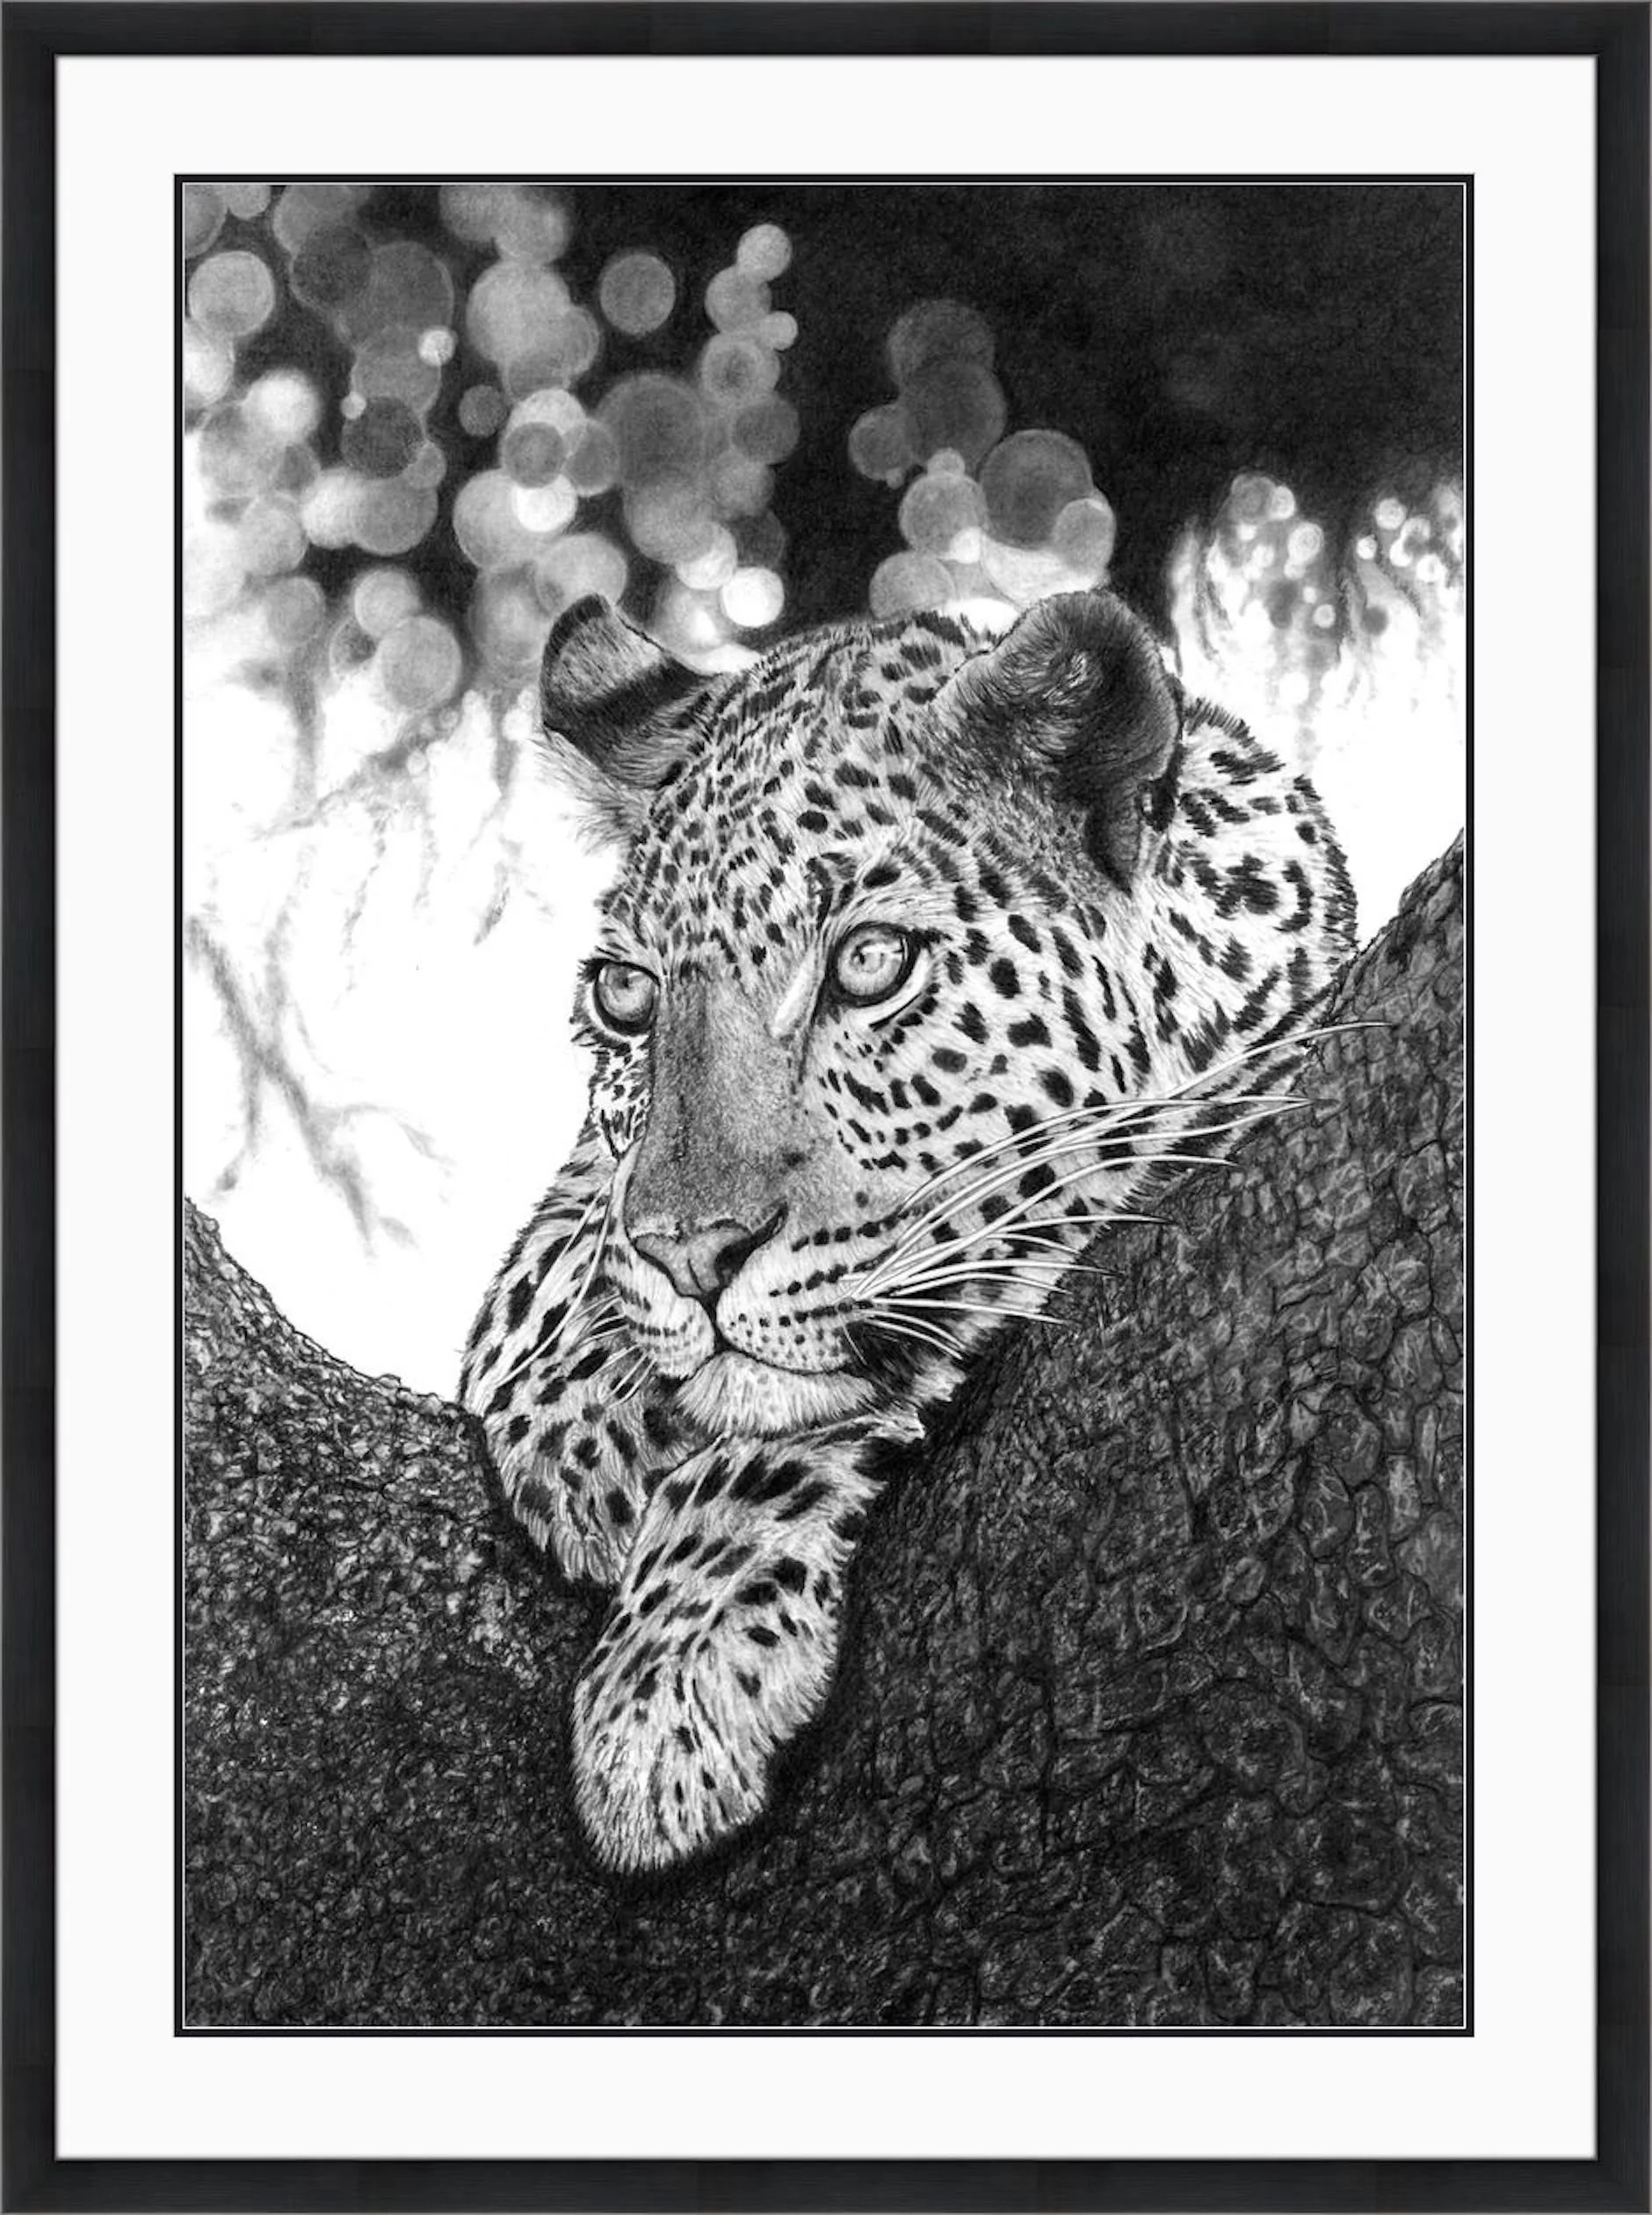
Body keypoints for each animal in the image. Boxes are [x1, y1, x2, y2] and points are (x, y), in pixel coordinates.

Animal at [459, 585, 1356, 1874]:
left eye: (870, 965)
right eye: (625, 998)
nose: (693, 1258)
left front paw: (670, 1674)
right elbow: (561, 1250)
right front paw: (581, 1408)